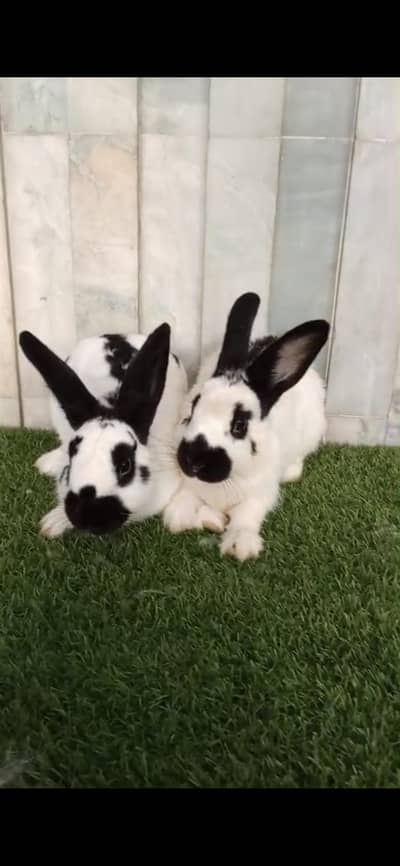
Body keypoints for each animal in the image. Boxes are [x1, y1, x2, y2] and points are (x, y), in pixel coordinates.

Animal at [163, 292, 330, 561]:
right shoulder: (188, 488)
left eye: (239, 426)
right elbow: (182, 513)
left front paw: (239, 544)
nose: (192, 461)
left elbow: (246, 516)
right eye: (192, 409)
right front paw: (210, 521)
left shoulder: (260, 494)